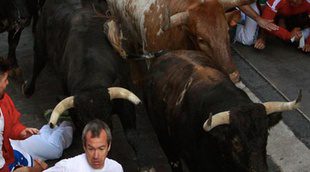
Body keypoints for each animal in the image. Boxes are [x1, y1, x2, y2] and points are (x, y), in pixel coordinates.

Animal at [21, 0, 151, 169]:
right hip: (41, 43)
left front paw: (146, 166)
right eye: (82, 121)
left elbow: (132, 134)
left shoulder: (124, 101)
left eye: (107, 116)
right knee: (38, 63)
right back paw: (28, 89)